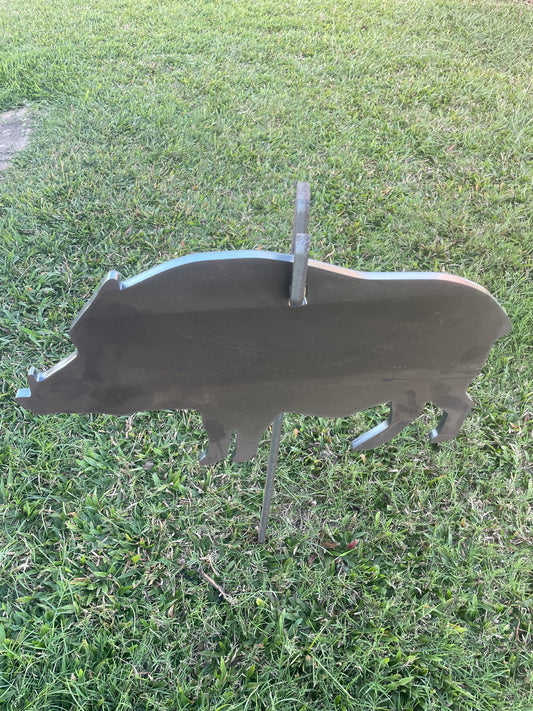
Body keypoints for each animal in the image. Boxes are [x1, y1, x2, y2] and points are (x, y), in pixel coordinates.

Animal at [16, 251, 511, 464]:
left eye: (89, 363)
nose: (23, 395)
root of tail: (501, 317)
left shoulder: (253, 400)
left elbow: (244, 437)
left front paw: (227, 464)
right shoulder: (218, 403)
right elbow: (220, 434)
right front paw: (213, 464)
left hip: (448, 376)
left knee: (462, 404)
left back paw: (436, 440)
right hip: (410, 383)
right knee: (406, 413)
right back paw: (360, 447)